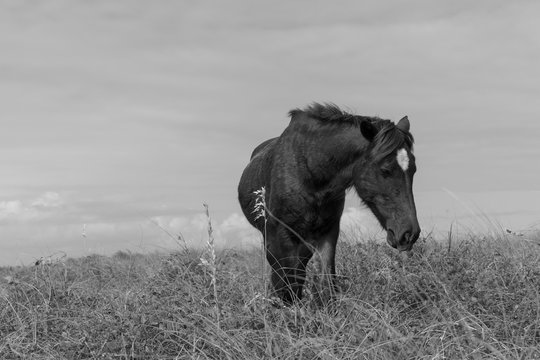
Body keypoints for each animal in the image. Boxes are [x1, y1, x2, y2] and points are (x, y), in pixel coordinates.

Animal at [238, 103, 420, 304]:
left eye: (413, 169)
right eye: (385, 170)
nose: (409, 234)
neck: (309, 171)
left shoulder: (328, 231)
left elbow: (327, 283)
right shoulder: (280, 234)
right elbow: (287, 283)